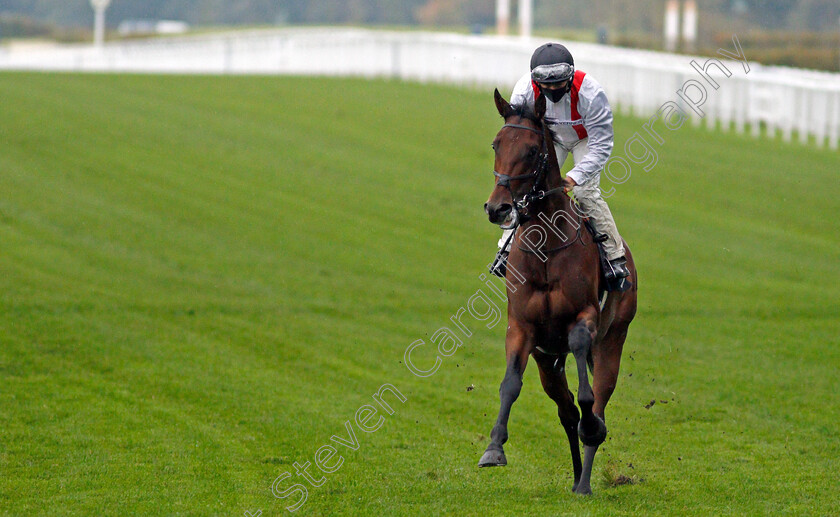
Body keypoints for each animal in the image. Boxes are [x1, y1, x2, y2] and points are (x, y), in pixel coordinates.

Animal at [480, 89, 636, 496]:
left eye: (533, 150)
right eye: (496, 144)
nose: (497, 208)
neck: (546, 247)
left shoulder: (585, 317)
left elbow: (587, 392)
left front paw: (591, 429)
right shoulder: (522, 328)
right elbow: (510, 385)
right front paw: (493, 448)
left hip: (614, 338)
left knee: (596, 403)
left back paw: (585, 481)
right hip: (547, 360)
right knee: (566, 410)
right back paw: (577, 474)